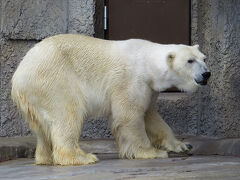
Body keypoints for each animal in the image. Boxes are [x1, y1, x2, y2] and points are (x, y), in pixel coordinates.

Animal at [11, 34, 210, 166]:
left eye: (204, 58)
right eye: (190, 61)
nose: (206, 74)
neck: (146, 63)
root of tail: (18, 75)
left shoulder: (149, 88)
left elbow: (151, 116)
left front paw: (182, 145)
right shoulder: (130, 80)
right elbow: (129, 116)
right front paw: (151, 152)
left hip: (34, 96)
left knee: (42, 127)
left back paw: (45, 158)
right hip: (54, 80)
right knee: (67, 115)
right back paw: (82, 157)